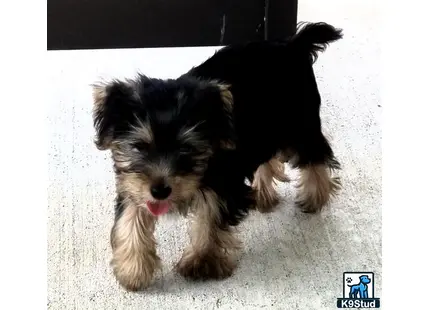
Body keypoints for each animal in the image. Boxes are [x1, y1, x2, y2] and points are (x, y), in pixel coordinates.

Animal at [90, 21, 342, 290]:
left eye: (186, 148)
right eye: (139, 146)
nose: (160, 191)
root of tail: (293, 44)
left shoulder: (221, 182)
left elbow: (210, 219)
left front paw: (202, 262)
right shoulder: (133, 184)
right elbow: (129, 221)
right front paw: (133, 269)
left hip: (299, 125)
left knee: (315, 156)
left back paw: (315, 197)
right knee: (267, 159)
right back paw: (262, 194)